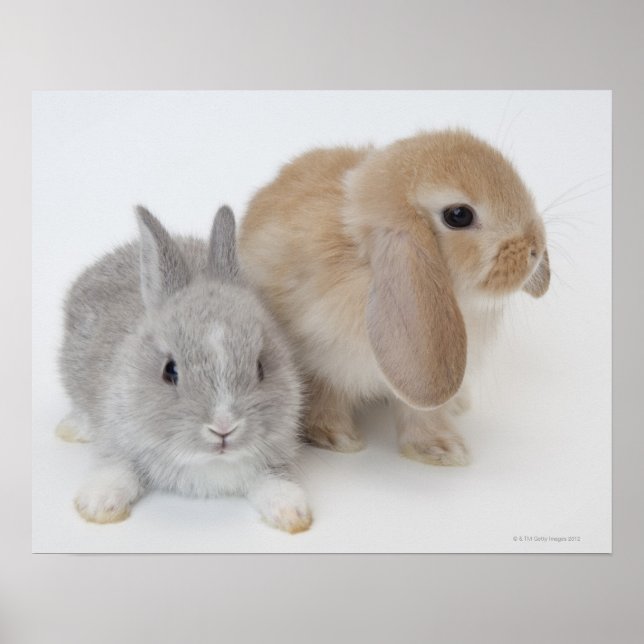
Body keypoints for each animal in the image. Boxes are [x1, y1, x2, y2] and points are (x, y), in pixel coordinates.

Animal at [56, 205, 312, 534]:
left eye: (260, 367)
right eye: (170, 371)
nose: (223, 428)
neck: (205, 461)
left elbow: (274, 481)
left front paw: (293, 514)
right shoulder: (118, 437)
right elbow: (117, 466)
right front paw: (98, 504)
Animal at [238, 129, 550, 465]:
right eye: (459, 215)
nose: (534, 248)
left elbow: (420, 413)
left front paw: (441, 449)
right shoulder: (323, 360)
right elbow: (326, 397)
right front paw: (337, 437)